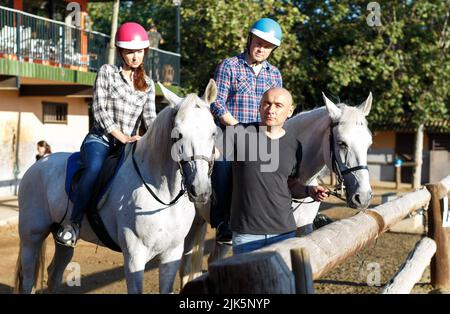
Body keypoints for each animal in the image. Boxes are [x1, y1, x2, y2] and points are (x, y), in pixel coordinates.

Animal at [14, 79, 218, 294]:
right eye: (178, 134)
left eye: (213, 132)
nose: (200, 189)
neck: (163, 195)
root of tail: (37, 165)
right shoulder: (134, 255)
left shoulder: (172, 253)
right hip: (31, 238)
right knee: (28, 280)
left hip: (61, 240)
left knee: (54, 274)